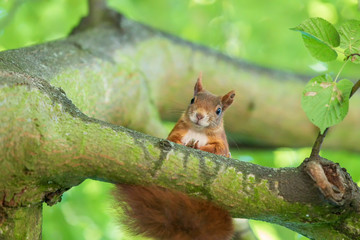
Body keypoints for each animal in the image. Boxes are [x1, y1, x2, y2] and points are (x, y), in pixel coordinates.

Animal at [114, 74, 235, 240]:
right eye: (192, 99)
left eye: (218, 110)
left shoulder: (221, 143)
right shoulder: (177, 132)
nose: (199, 115)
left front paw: (196, 146)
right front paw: (188, 144)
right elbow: (173, 140)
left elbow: (218, 151)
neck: (198, 130)